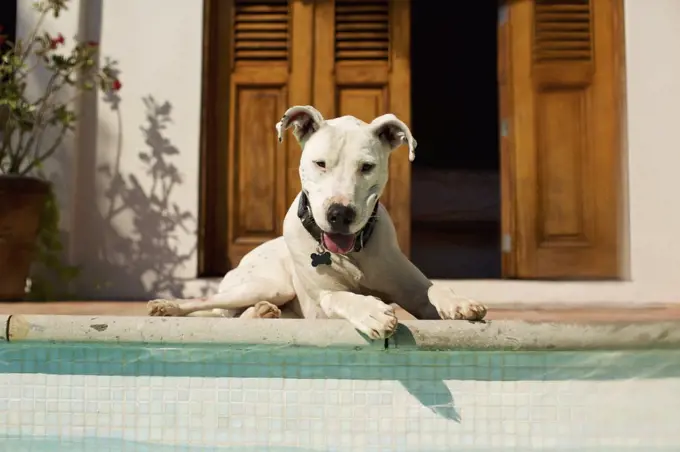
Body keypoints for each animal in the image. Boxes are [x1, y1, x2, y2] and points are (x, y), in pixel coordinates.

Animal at [150, 106, 488, 338]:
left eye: (367, 166)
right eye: (320, 163)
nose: (340, 214)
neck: (352, 253)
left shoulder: (412, 288)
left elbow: (432, 290)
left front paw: (459, 302)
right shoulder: (324, 298)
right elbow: (341, 296)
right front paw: (371, 311)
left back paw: (261, 314)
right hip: (267, 285)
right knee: (208, 303)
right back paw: (167, 306)